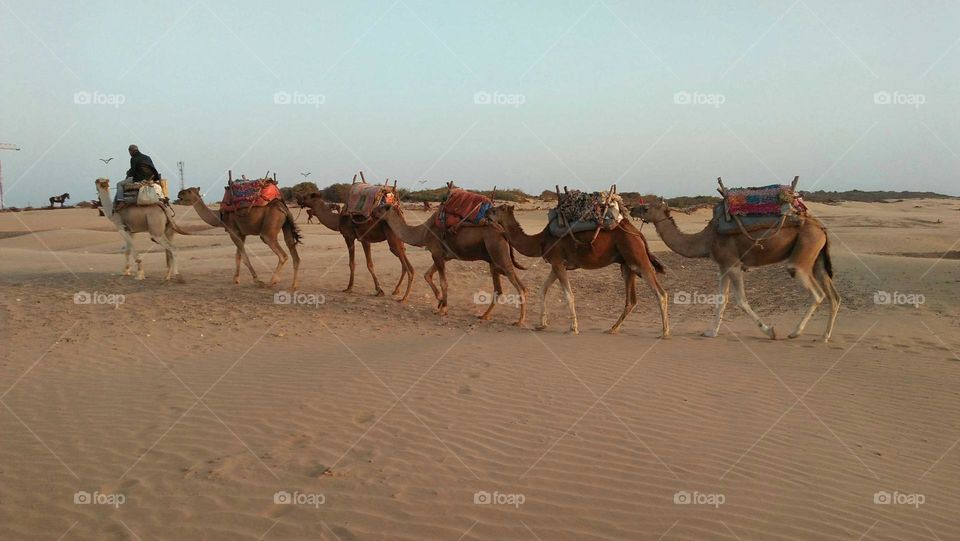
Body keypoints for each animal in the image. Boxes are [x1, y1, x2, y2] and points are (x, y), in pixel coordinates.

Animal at [374, 204, 524, 324]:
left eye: (382, 207)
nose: (372, 212)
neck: (423, 233)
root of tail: (503, 232)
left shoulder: (437, 254)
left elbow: (443, 282)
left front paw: (443, 309)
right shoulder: (444, 257)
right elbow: (427, 275)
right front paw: (440, 302)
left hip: (499, 255)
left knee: (520, 287)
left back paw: (519, 321)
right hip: (494, 261)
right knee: (499, 288)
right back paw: (484, 316)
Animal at [488, 205, 668, 336]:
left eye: (495, 210)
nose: (486, 215)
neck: (540, 240)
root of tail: (637, 233)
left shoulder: (558, 262)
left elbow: (568, 295)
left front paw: (573, 328)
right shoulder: (556, 265)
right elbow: (543, 289)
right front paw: (541, 324)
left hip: (638, 258)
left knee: (660, 293)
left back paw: (665, 332)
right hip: (627, 265)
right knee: (631, 300)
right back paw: (612, 328)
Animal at [632, 198, 836, 342]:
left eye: (646, 208)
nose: (632, 208)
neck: (707, 239)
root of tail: (822, 228)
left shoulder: (733, 264)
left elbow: (741, 300)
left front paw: (770, 331)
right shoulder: (723, 266)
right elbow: (721, 300)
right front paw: (710, 332)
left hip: (804, 250)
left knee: (817, 292)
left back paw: (795, 333)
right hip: (817, 257)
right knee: (833, 295)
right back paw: (824, 336)